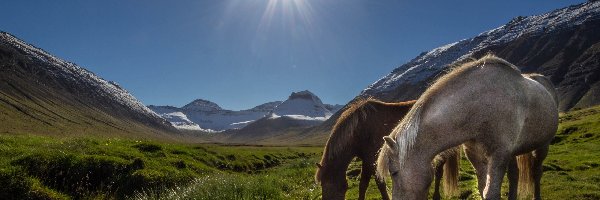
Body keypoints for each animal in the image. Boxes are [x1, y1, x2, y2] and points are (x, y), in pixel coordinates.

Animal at [314, 98, 460, 200]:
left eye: (329, 186)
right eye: (322, 186)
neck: (361, 130)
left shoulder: (373, 160)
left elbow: (379, 184)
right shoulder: (366, 161)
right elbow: (363, 185)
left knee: (439, 172)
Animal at [376, 55, 556, 200]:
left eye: (394, 172)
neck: (480, 106)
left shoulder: (499, 154)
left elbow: (491, 193)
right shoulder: (475, 154)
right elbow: (482, 189)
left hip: (542, 146)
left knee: (536, 172)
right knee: (514, 176)